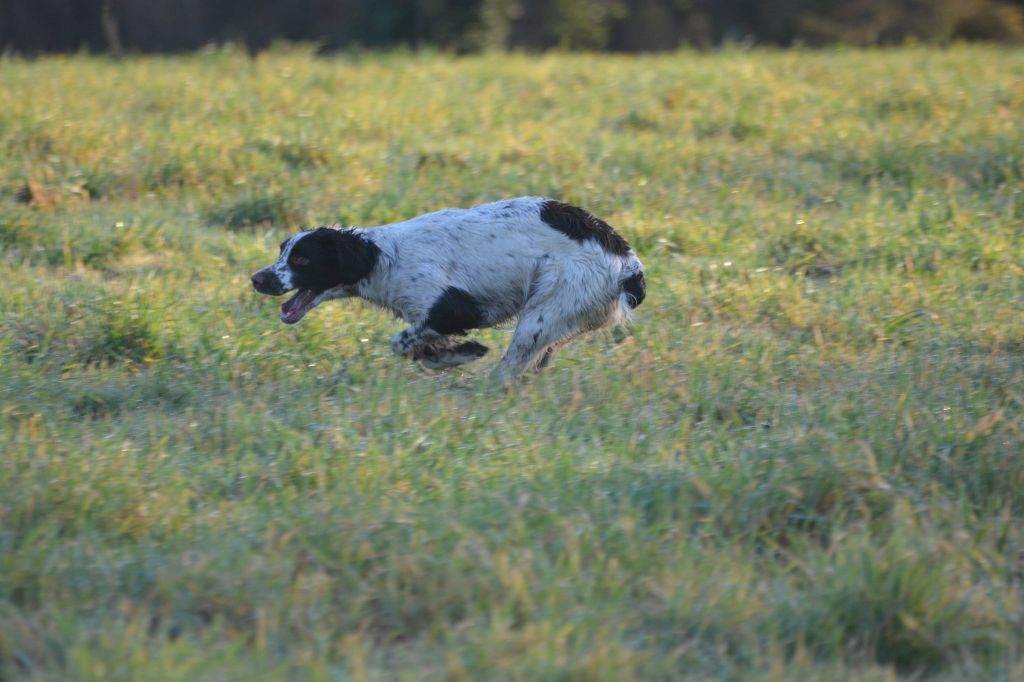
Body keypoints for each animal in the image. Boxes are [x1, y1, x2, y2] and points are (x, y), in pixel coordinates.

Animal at [250, 196, 643, 378]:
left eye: (302, 260)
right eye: (282, 251)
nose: (257, 278)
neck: (383, 257)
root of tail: (627, 263)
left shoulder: (455, 307)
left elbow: (401, 341)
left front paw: (459, 354)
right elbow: (416, 344)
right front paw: (448, 353)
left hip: (539, 317)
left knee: (507, 371)